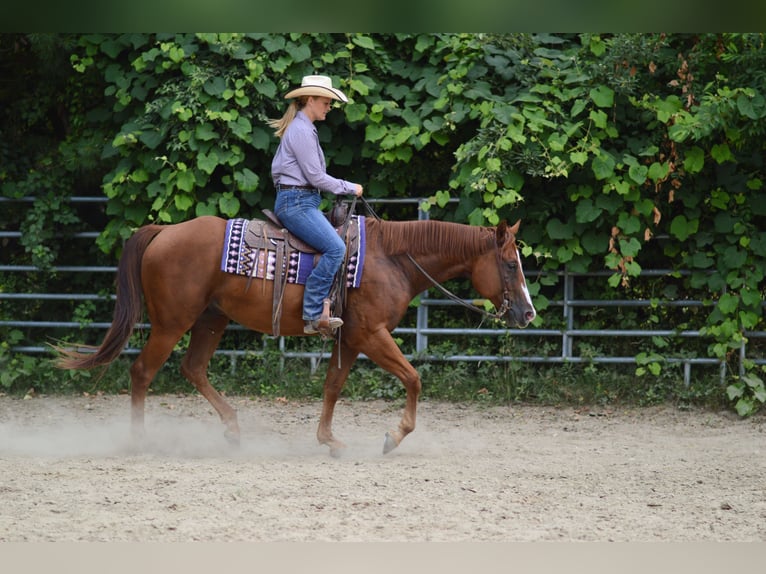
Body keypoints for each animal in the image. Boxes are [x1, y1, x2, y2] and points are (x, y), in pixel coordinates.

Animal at [55, 214, 536, 456]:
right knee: (142, 372)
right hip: (172, 323)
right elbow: (414, 378)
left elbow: (332, 387)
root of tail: (164, 231)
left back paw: (233, 431)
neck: (391, 258)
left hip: (211, 319)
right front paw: (393, 436)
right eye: (510, 264)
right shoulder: (371, 334)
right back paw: (139, 441)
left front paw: (329, 439)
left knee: (193, 369)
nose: (528, 313)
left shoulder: (351, 339)